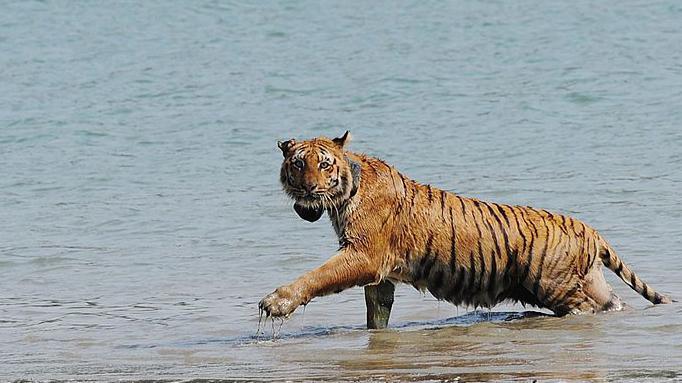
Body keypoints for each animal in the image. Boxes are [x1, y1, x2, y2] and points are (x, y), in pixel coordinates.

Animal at [258, 132, 668, 320]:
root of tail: (589, 229)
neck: (346, 191)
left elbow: (318, 276)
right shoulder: (381, 276)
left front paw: (276, 302)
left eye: (324, 164)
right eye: (298, 164)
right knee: (613, 303)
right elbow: (378, 314)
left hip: (556, 287)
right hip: (588, 283)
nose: (308, 188)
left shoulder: (364, 255)